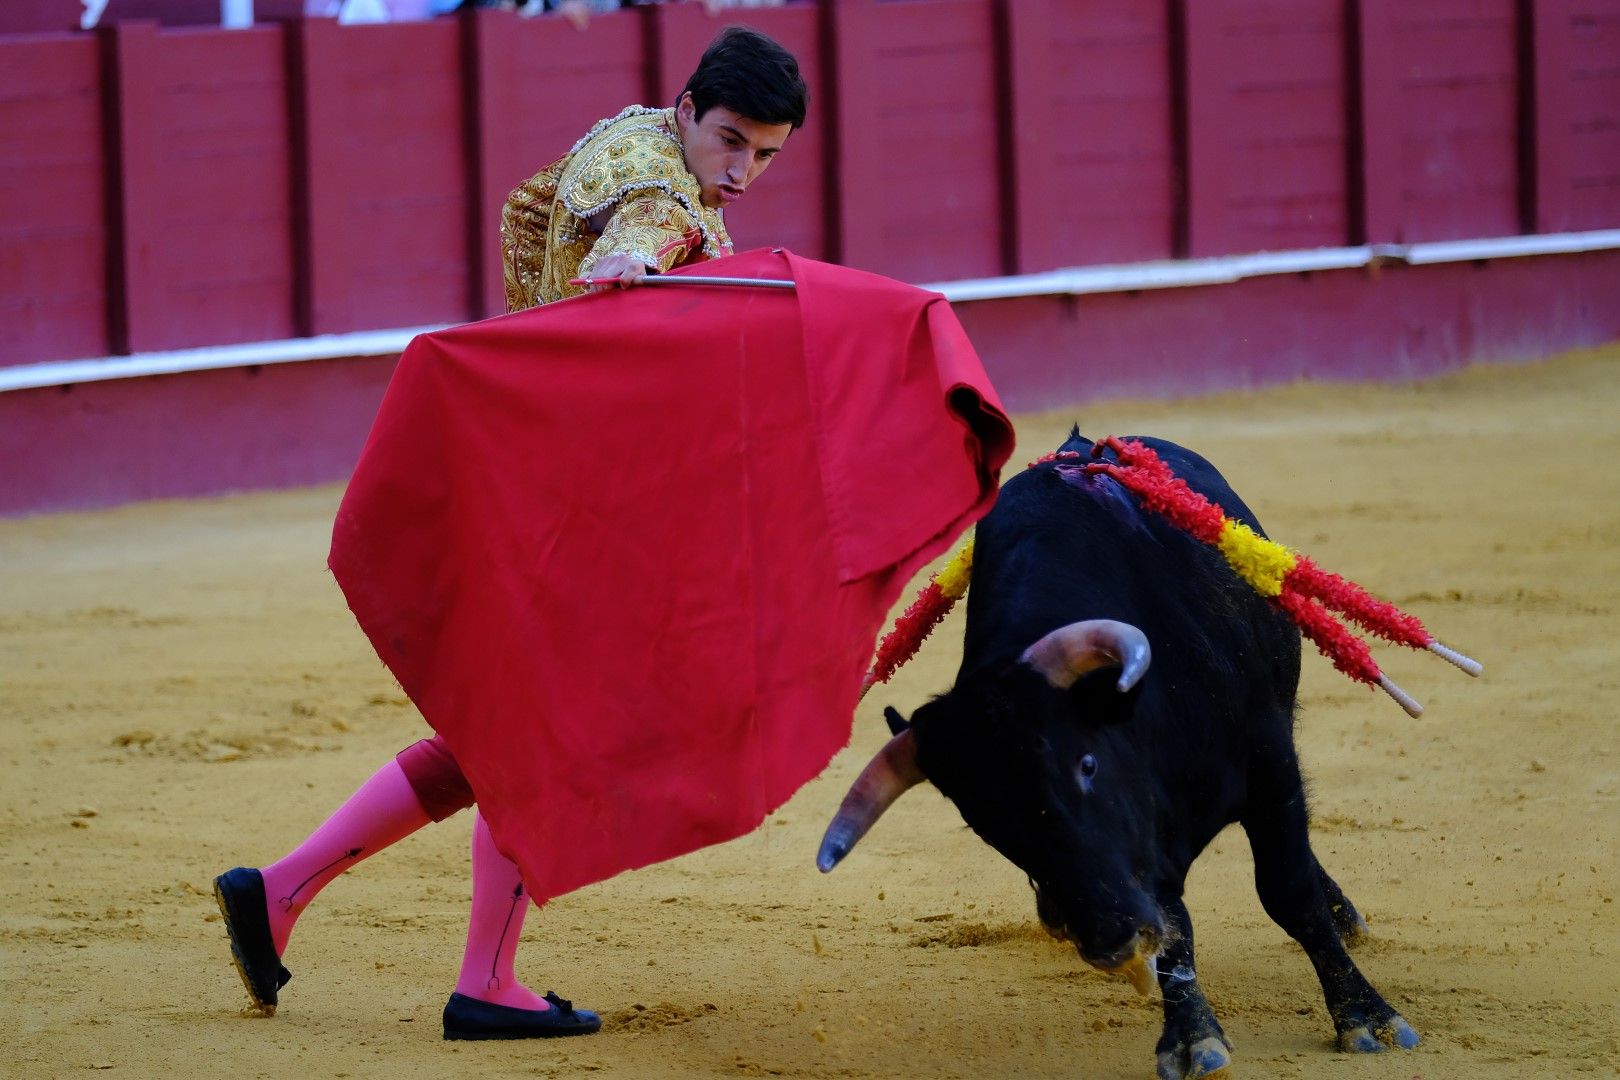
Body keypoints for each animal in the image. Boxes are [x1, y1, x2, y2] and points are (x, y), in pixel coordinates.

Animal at [822, 433, 1419, 1080]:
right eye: (985, 825)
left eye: (1087, 764)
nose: (1111, 940)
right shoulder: (1139, 848)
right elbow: (1175, 923)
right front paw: (1192, 1038)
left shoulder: (1269, 762)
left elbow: (1289, 890)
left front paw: (1366, 1018)